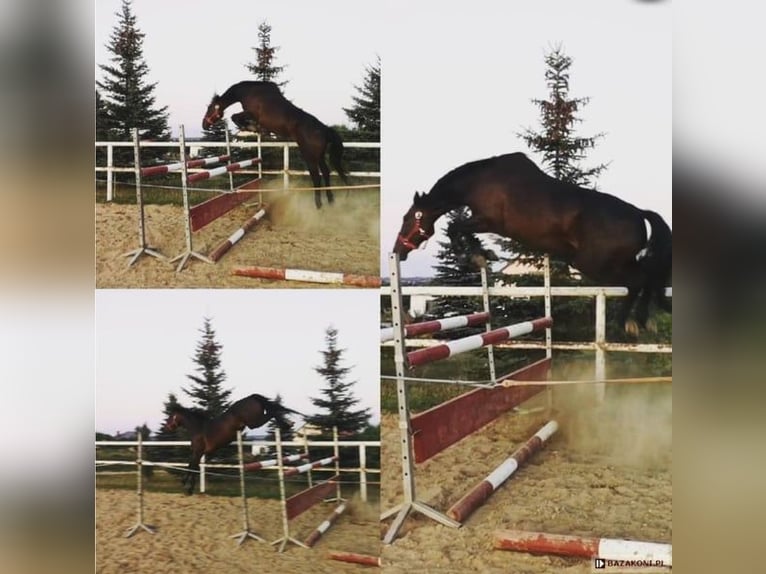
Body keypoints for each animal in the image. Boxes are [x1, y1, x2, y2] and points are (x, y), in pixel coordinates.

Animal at [163, 393, 303, 495]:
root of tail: (251, 397)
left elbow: (192, 467)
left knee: (272, 413)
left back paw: (287, 424)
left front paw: (187, 487)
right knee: (273, 412)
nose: (167, 427)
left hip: (253, 423)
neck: (198, 428)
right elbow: (192, 466)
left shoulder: (198, 452)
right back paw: (287, 424)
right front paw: (187, 485)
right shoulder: (199, 453)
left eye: (171, 416)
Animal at [202, 81, 348, 209]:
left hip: (309, 155)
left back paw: (318, 205)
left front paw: (252, 128)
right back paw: (330, 200)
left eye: (209, 108)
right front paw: (254, 129)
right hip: (320, 156)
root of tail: (324, 129)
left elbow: (235, 117)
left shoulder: (251, 113)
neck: (249, 91)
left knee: (316, 177)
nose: (204, 124)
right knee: (326, 173)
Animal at [393, 153, 672, 336]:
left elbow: (455, 227)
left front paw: (475, 256)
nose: (398, 250)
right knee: (648, 278)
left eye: (408, 218)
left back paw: (628, 322)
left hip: (595, 264)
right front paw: (484, 254)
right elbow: (459, 229)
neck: (479, 181)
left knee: (638, 280)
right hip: (611, 262)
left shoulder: (487, 221)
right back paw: (645, 320)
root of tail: (638, 214)